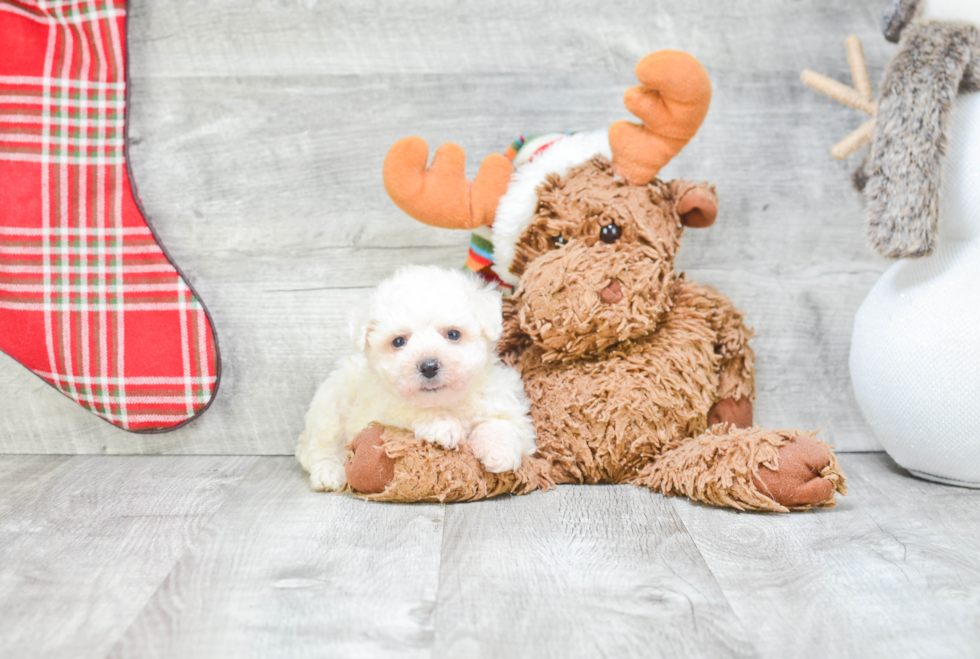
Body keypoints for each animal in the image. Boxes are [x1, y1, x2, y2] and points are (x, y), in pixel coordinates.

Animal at [294, 262, 536, 490]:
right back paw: (329, 473)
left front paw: (499, 451)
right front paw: (442, 426)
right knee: (320, 448)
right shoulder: (382, 409)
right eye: (398, 341)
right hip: (330, 406)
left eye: (453, 334)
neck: (448, 401)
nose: (429, 366)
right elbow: (409, 409)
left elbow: (504, 424)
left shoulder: (508, 405)